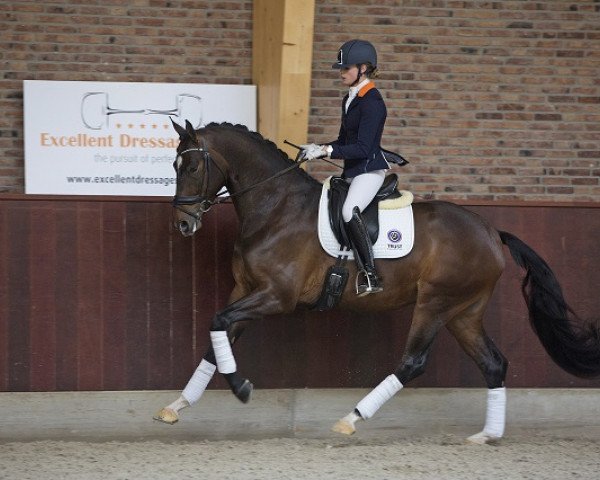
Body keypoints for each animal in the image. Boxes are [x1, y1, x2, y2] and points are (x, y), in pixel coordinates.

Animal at [156, 120, 600, 442]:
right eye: (174, 166)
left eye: (191, 166)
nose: (183, 224)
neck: (275, 208)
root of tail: (491, 232)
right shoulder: (246, 291)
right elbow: (217, 339)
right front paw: (177, 406)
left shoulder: (275, 296)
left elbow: (218, 324)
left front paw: (241, 387)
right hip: (464, 312)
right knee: (493, 363)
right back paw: (487, 436)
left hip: (435, 304)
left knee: (413, 362)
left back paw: (351, 419)